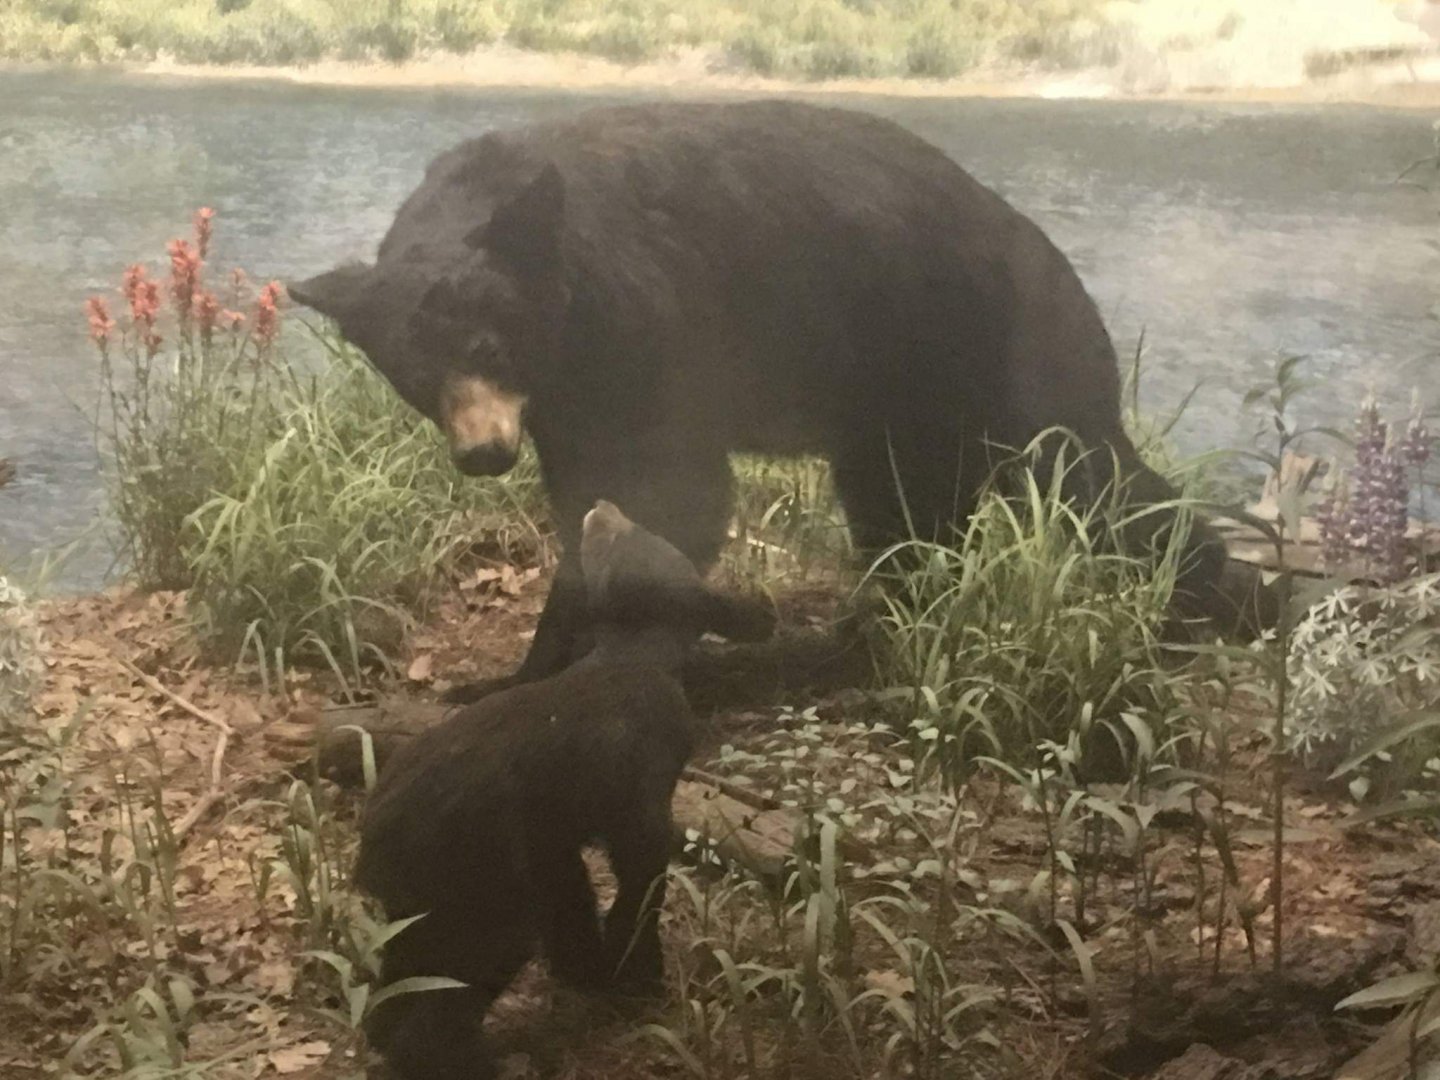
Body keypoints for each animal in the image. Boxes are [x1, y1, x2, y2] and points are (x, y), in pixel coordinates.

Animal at [289, 99, 1239, 699]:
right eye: (415, 375)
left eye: (490, 344)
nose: (482, 452)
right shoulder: (565, 400)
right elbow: (589, 496)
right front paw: (518, 670)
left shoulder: (653, 330)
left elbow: (671, 493)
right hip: (892, 408)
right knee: (907, 508)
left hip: (1007, 345)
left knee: (1088, 472)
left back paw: (1208, 597)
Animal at [354, 499, 775, 1080]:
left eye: (615, 536)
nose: (603, 504)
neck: (630, 654)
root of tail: (375, 842)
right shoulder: (639, 799)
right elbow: (641, 880)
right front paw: (636, 973)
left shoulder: (550, 839)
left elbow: (572, 894)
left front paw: (591, 968)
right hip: (481, 903)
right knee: (431, 1015)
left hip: (423, 911)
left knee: (394, 993)